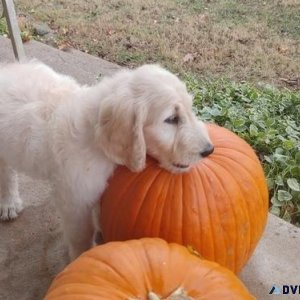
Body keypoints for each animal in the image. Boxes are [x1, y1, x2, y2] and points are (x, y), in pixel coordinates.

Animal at [0, 60, 213, 258]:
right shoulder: (75, 199)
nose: (209, 150)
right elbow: (82, 236)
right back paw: (9, 203)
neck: (93, 133)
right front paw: (81, 257)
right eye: (171, 119)